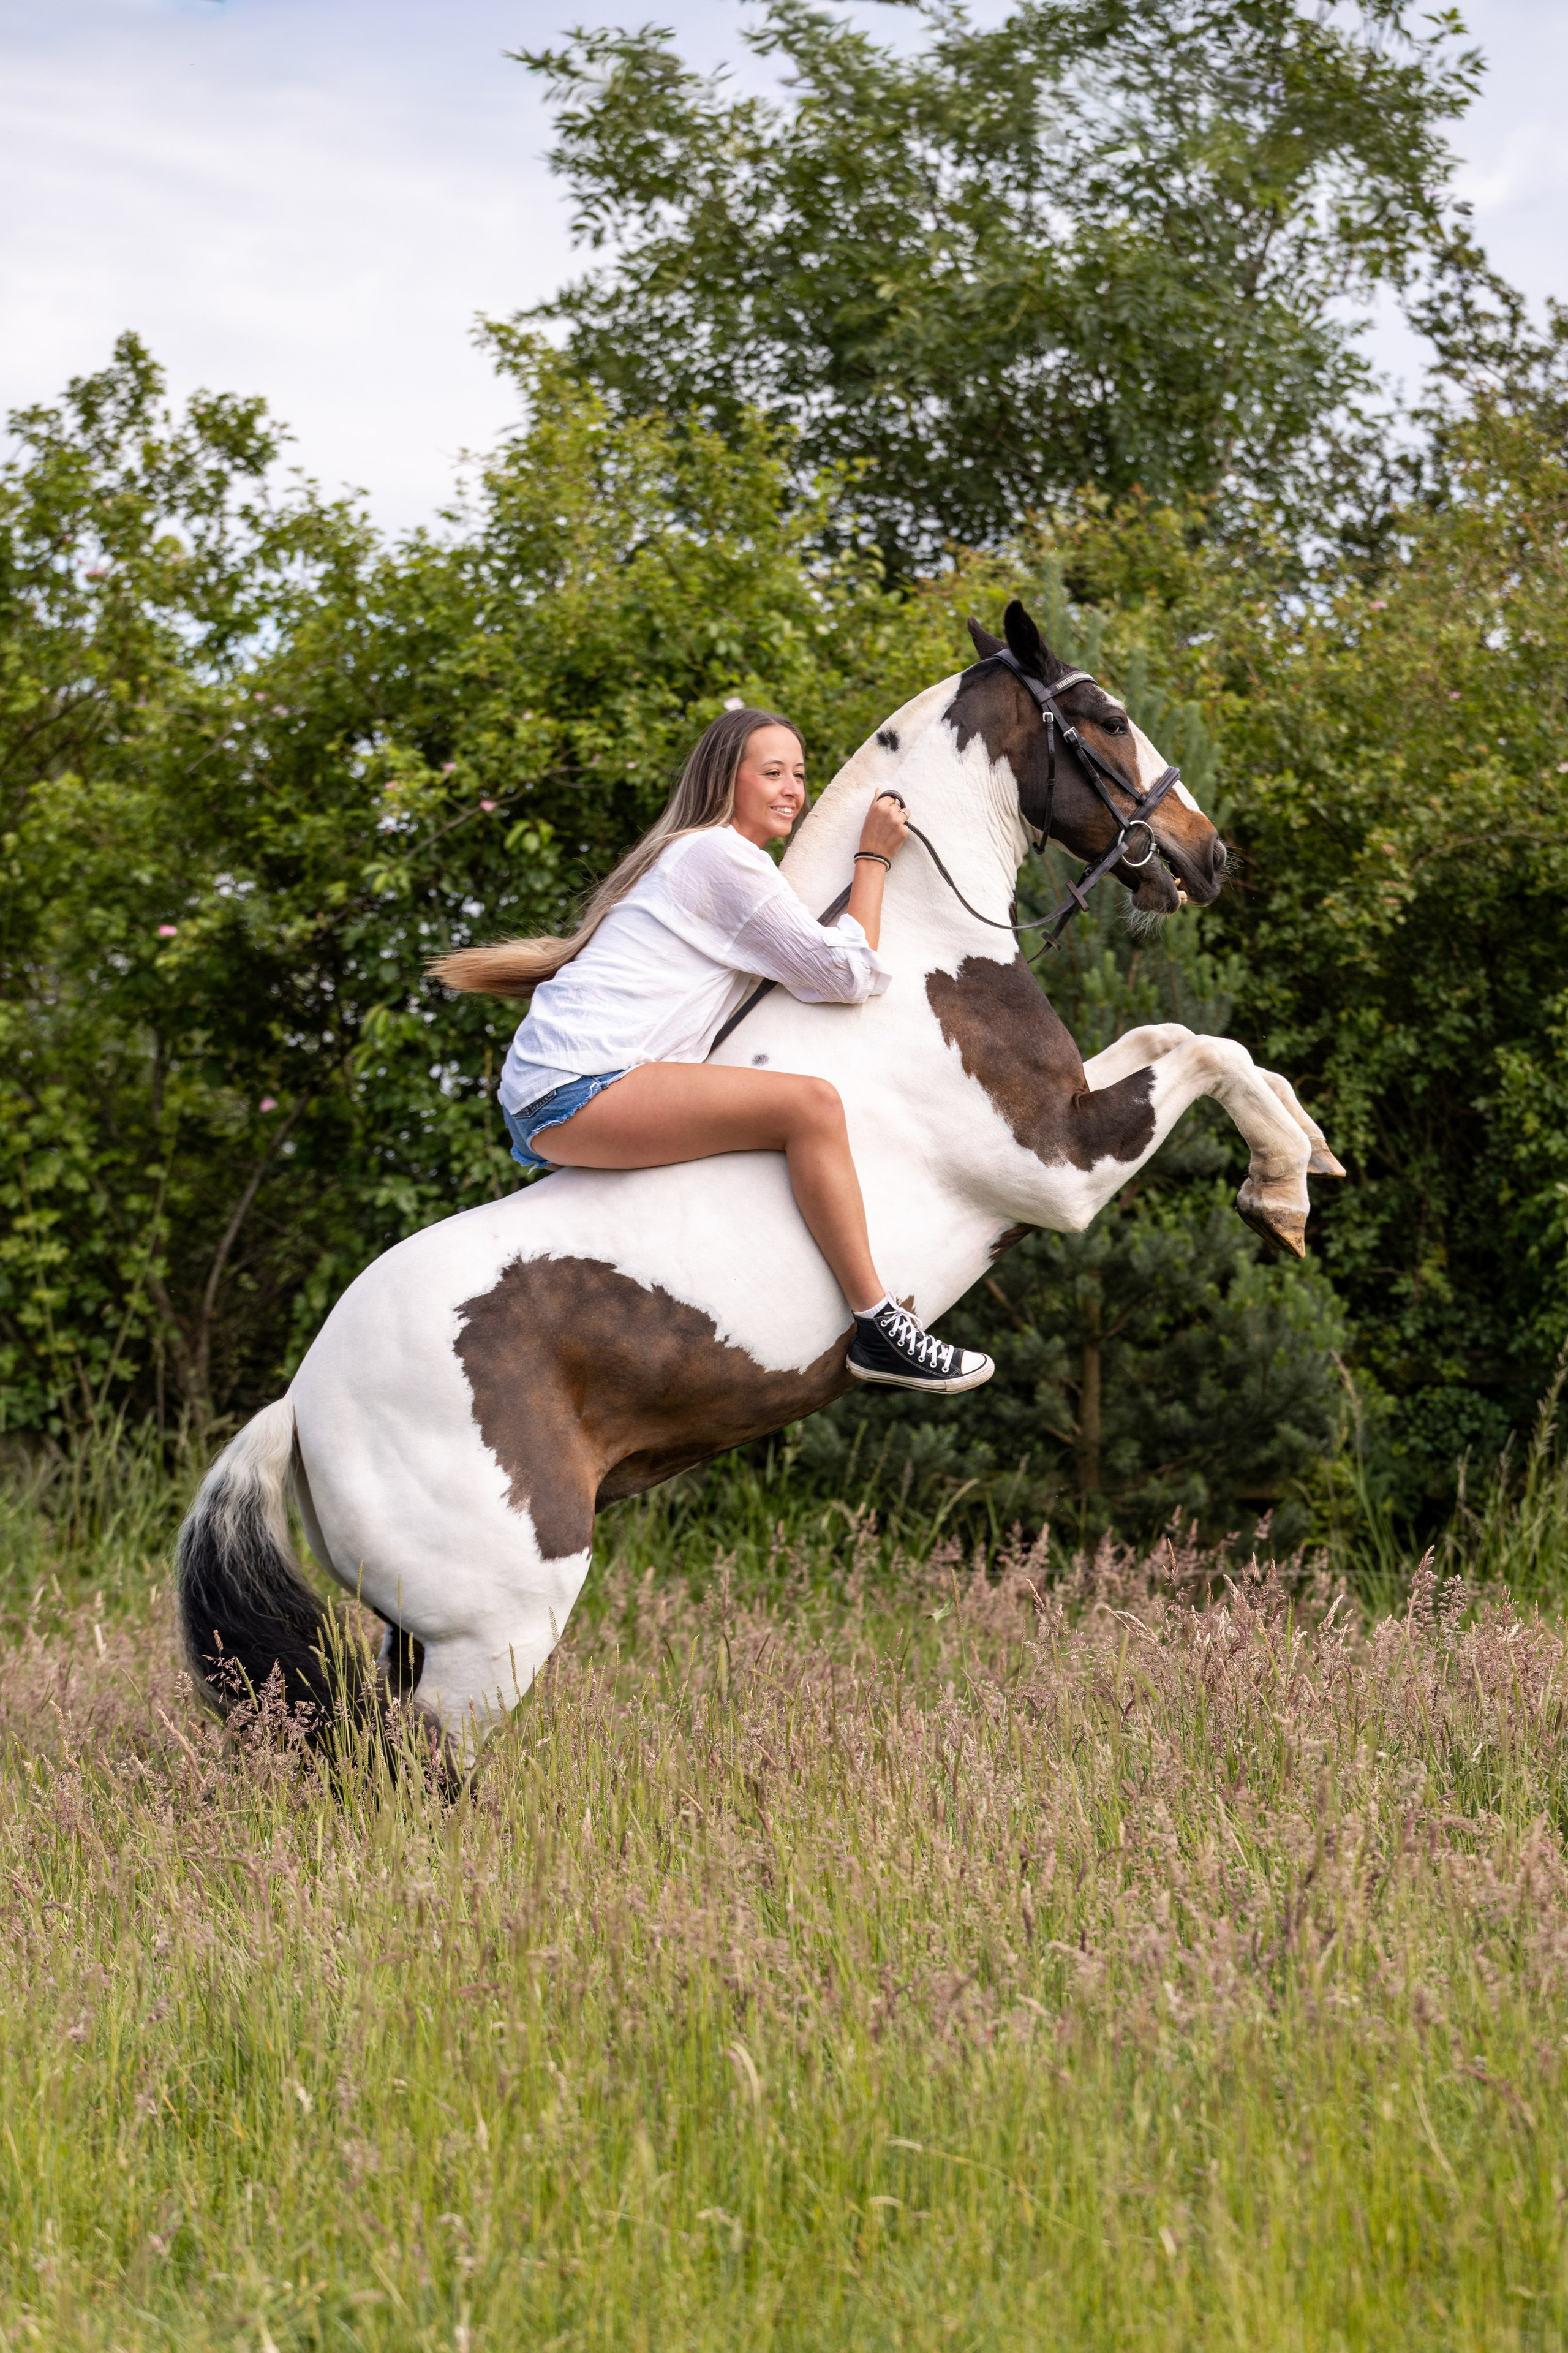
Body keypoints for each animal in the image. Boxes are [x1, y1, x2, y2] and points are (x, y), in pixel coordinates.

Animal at [177, 599, 1342, 1757]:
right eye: (1105, 718)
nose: (1208, 854)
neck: (908, 955)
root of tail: (301, 1405)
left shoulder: (1072, 1108)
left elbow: (1182, 1035)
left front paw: (1310, 1155)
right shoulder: (1062, 1166)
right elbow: (1208, 1049)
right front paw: (1282, 1194)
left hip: (412, 1633)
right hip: (491, 1634)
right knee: (420, 1770)